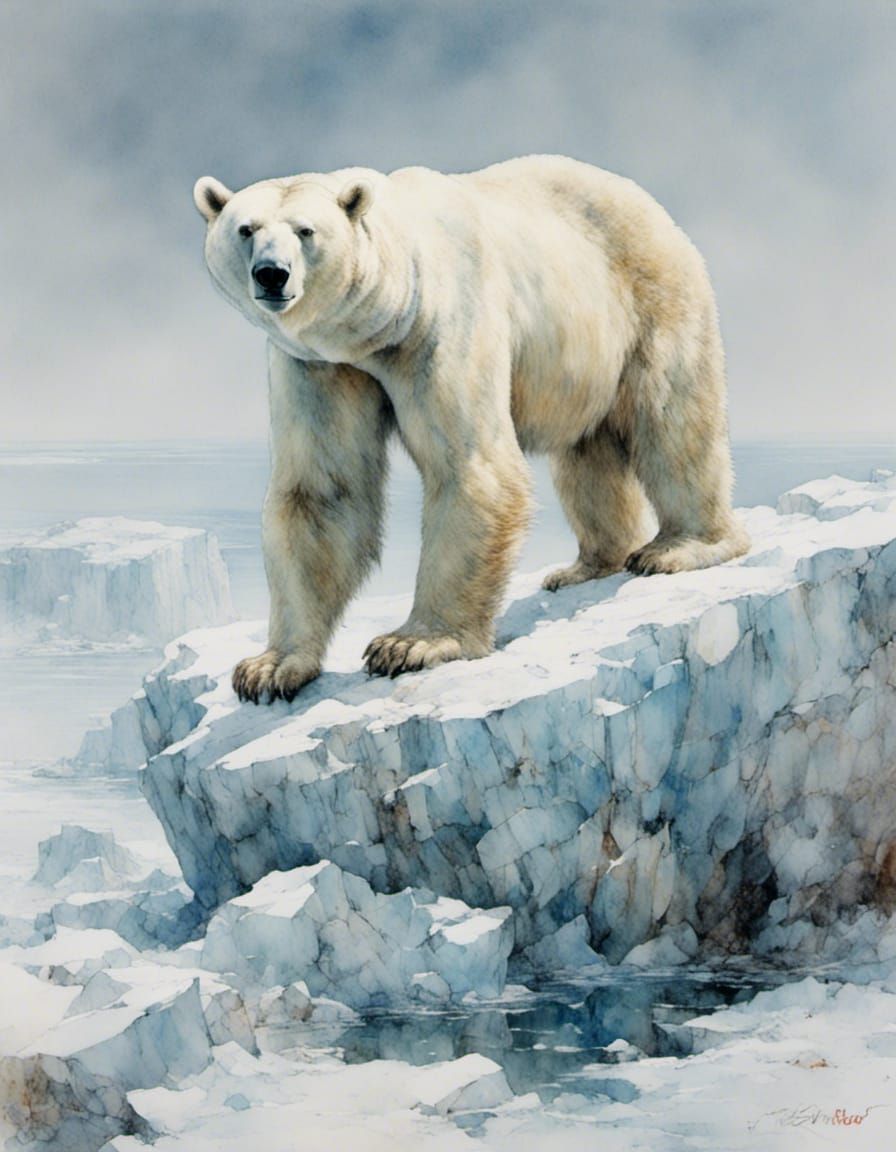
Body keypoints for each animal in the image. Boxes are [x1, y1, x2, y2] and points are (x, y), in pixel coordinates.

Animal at [193, 155, 749, 704]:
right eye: (246, 229)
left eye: (306, 230)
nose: (271, 274)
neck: (380, 319)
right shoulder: (319, 365)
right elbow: (324, 492)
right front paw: (270, 668)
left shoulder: (440, 330)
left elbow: (470, 467)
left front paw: (411, 644)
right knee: (585, 452)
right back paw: (587, 565)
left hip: (652, 296)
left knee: (672, 419)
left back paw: (682, 546)